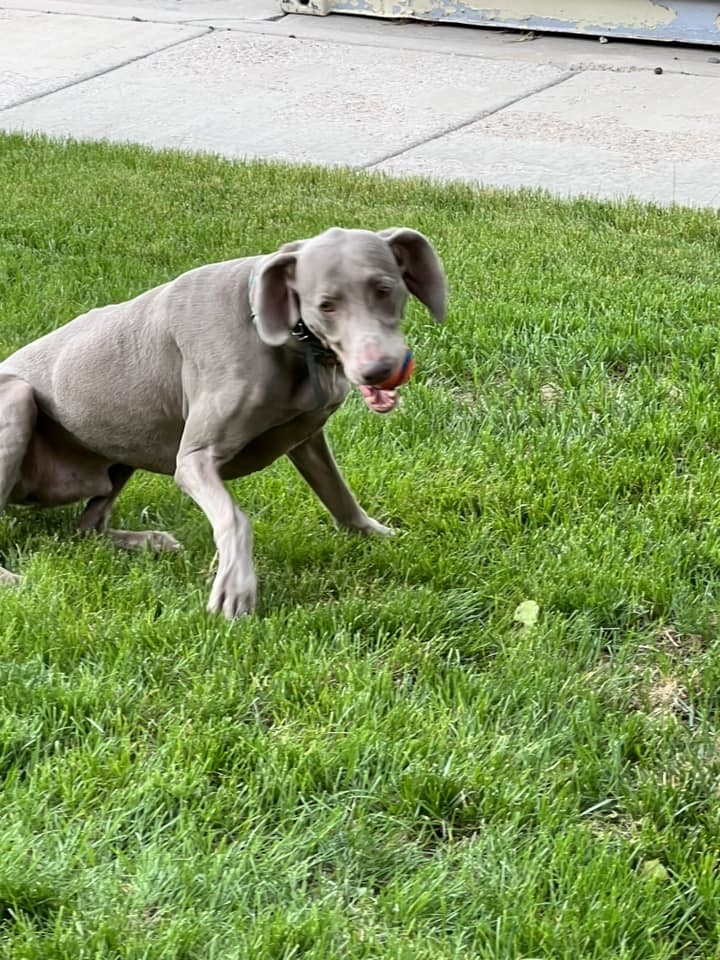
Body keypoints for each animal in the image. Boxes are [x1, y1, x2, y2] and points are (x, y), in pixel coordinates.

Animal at [0, 227, 448, 616]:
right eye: (326, 304)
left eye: (385, 289)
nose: (379, 369)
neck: (278, 332)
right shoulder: (194, 459)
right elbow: (235, 517)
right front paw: (235, 589)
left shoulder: (308, 437)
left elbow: (339, 494)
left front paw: (378, 535)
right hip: (17, 399)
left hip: (125, 440)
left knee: (86, 528)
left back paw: (150, 542)